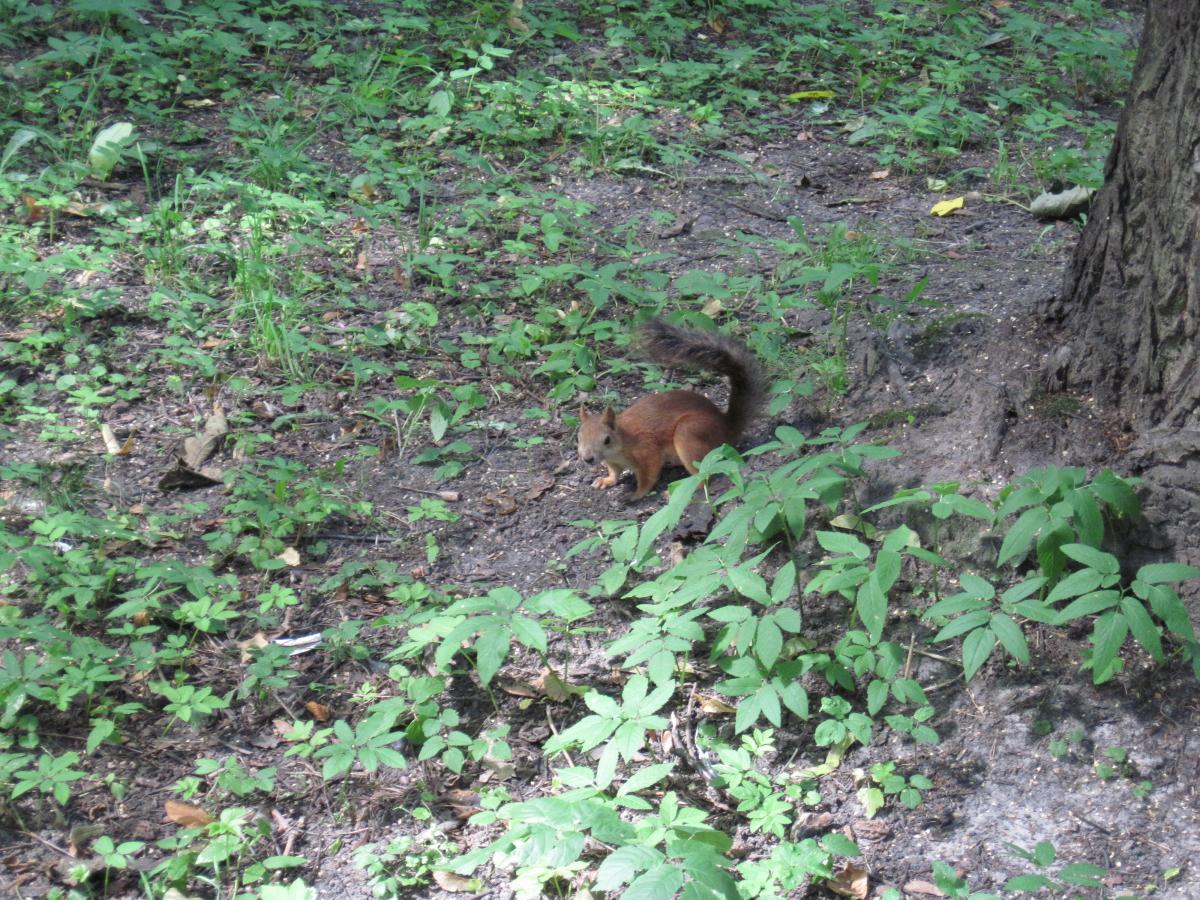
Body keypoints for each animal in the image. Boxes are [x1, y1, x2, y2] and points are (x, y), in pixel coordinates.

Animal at [576, 319, 763, 501]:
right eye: (579, 437)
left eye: (606, 440)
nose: (588, 459)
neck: (621, 441)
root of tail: (727, 428)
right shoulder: (612, 462)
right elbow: (615, 473)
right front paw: (606, 480)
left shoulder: (646, 451)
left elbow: (648, 476)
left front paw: (637, 494)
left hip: (689, 433)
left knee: (703, 476)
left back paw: (676, 492)